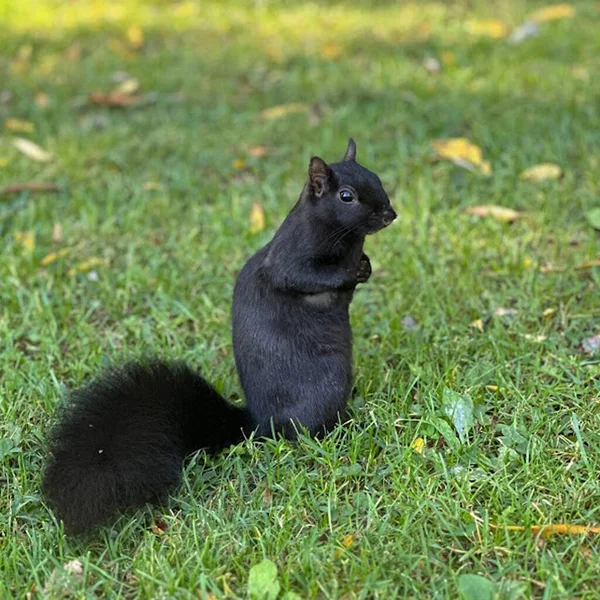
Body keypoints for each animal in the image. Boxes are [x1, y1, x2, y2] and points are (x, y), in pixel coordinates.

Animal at [43, 141, 398, 536]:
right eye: (346, 196)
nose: (390, 214)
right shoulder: (290, 259)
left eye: (375, 176)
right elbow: (305, 276)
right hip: (326, 388)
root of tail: (259, 425)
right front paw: (354, 269)